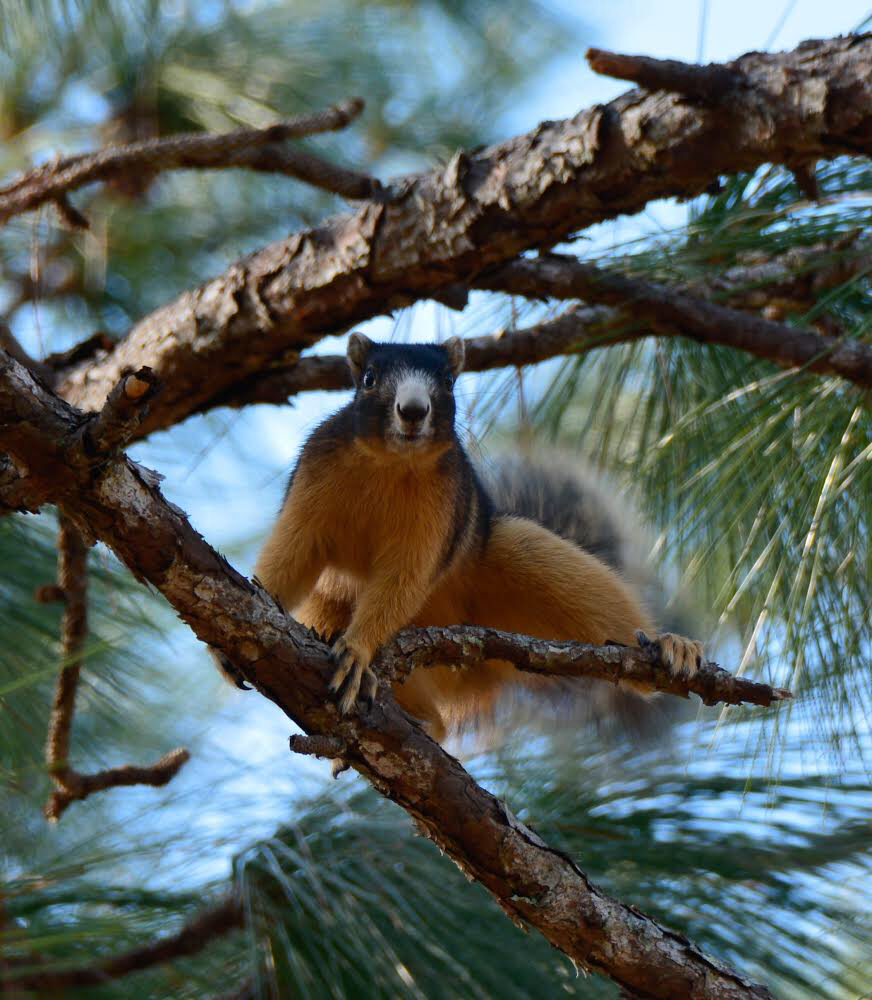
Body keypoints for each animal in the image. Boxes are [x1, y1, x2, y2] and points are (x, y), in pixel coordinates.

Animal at [235, 336, 704, 744]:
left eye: (447, 381)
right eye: (368, 378)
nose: (412, 409)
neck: (390, 462)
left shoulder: (439, 515)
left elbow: (404, 577)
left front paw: (359, 648)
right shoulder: (315, 481)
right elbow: (293, 553)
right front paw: (255, 612)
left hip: (517, 555)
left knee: (601, 608)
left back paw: (667, 646)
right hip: (330, 608)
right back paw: (416, 718)